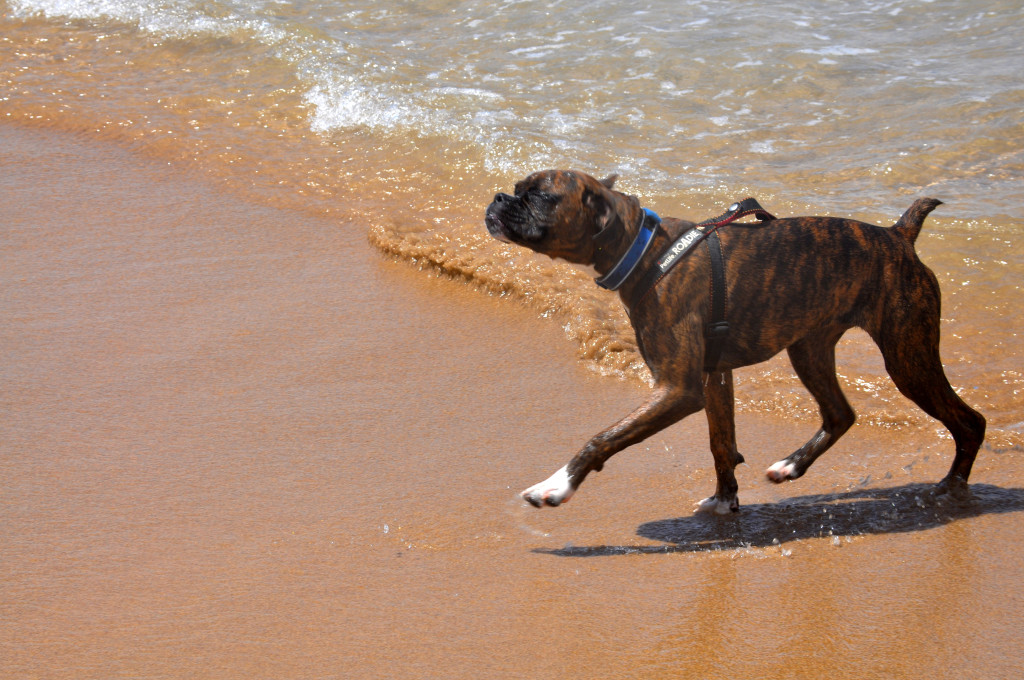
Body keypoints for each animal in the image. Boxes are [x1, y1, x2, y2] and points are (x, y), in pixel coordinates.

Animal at [485, 171, 983, 516]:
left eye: (539, 196)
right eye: (517, 189)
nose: (498, 198)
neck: (644, 250)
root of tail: (898, 235)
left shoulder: (679, 389)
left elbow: (602, 437)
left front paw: (556, 486)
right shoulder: (713, 377)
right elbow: (721, 443)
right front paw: (726, 501)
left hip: (907, 358)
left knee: (969, 422)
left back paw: (951, 489)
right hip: (810, 350)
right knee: (840, 414)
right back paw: (791, 466)